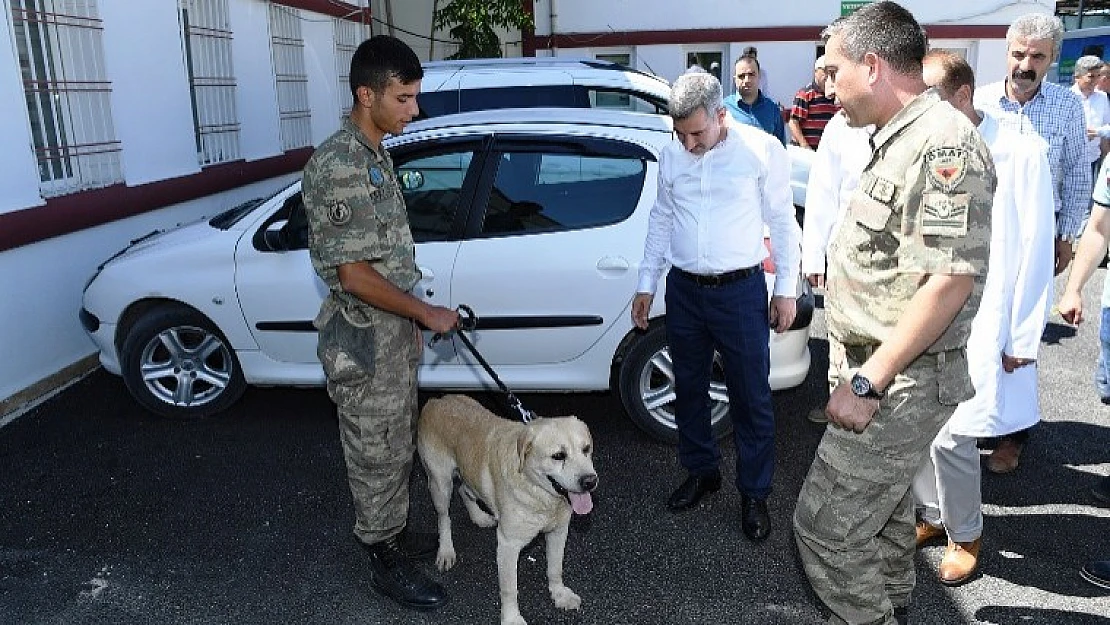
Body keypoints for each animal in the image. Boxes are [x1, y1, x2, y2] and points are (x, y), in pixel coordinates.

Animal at [417, 395, 599, 625]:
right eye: (558, 455)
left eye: (586, 449)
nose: (590, 481)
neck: (537, 492)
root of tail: (436, 400)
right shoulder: (508, 545)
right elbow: (510, 589)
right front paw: (512, 618)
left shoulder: (558, 532)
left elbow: (555, 568)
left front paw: (559, 594)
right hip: (440, 483)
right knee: (443, 517)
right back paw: (446, 550)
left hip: (468, 474)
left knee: (464, 490)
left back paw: (479, 517)